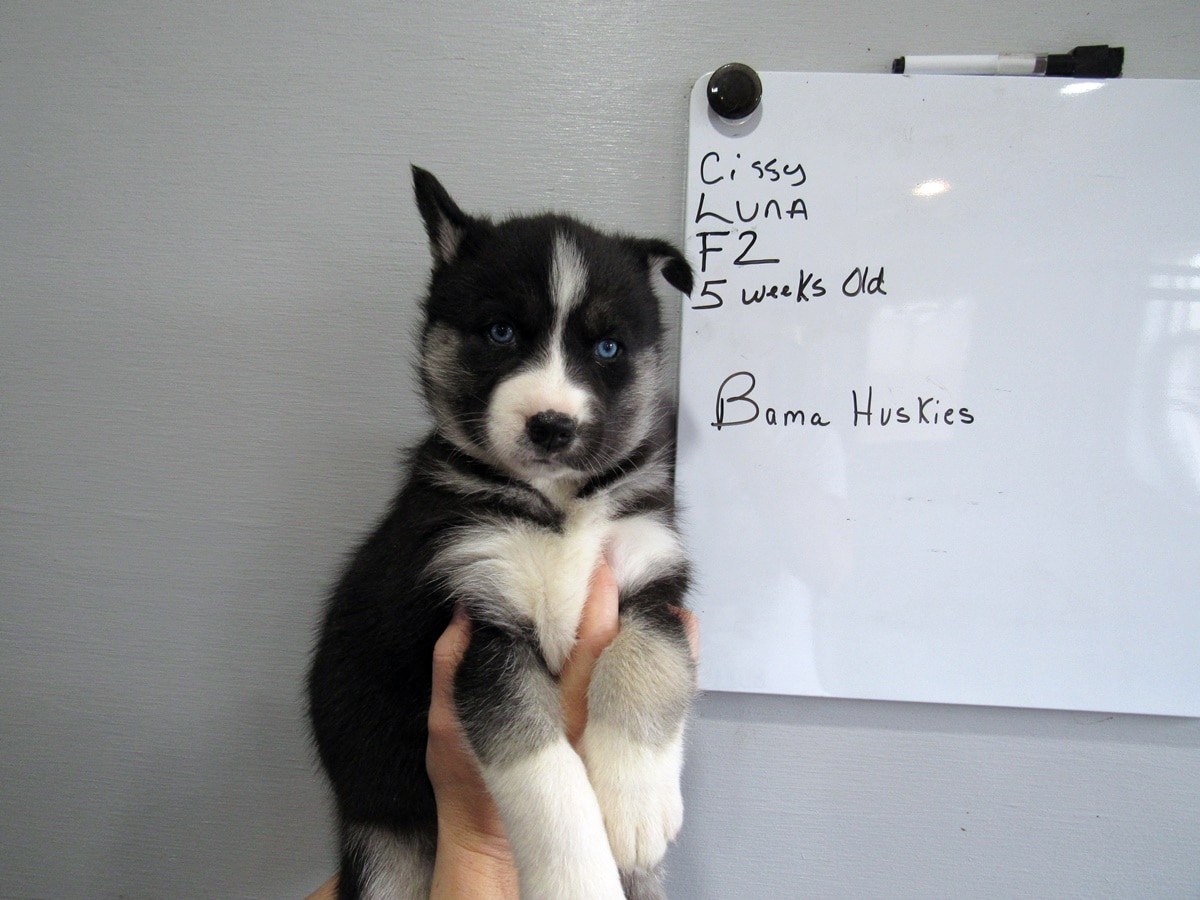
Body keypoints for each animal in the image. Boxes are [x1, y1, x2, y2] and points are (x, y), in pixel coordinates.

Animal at [307, 167, 696, 900]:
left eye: (608, 347)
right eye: (500, 331)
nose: (552, 426)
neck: (560, 505)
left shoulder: (653, 578)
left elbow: (648, 660)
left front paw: (635, 804)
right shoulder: (480, 619)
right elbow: (541, 769)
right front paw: (579, 878)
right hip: (383, 848)